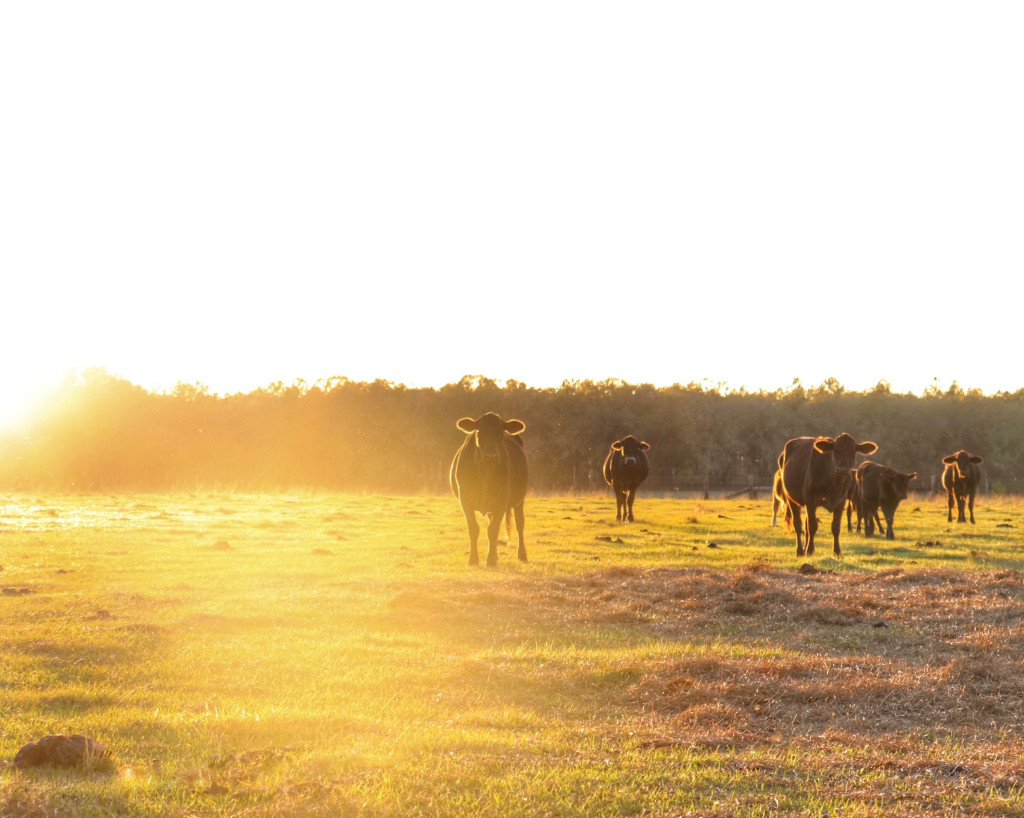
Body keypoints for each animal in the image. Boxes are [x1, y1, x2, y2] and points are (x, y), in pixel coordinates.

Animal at [448, 413, 528, 565]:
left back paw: (522, 555)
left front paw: (490, 561)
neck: (485, 472)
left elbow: (493, 530)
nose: (490, 457)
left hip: (520, 500)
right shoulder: (464, 499)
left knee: (520, 525)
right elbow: (474, 529)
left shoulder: (502, 500)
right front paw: (473, 559)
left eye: (500, 433)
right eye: (479, 432)